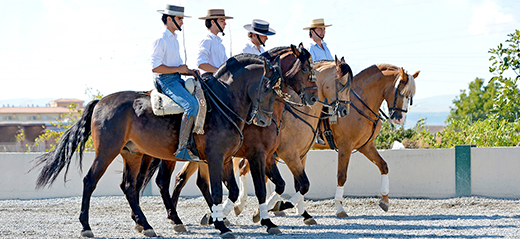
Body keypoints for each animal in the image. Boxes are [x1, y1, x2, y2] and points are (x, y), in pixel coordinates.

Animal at [31, 53, 284, 238]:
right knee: (90, 181)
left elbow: (231, 190)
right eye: (268, 87)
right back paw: (86, 226)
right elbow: (218, 190)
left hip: (132, 154)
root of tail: (101, 102)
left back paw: (146, 225)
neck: (223, 102)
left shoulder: (225, 159)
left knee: (129, 186)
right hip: (107, 151)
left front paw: (219, 219)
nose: (263, 121)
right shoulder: (218, 157)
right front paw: (222, 226)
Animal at [136, 44, 318, 234]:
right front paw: (267, 217)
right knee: (164, 181)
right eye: (305, 69)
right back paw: (174, 218)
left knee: (189, 181)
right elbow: (262, 188)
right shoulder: (260, 155)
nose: (314, 97)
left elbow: (281, 184)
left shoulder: (267, 156)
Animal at [236, 56, 354, 224]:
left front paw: (304, 214)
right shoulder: (289, 154)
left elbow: (299, 186)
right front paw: (278, 206)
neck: (301, 112)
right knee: (241, 168)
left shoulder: (301, 156)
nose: (345, 111)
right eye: (341, 83)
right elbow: (303, 185)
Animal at [282, 64, 420, 218]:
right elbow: (341, 176)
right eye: (401, 93)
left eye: (410, 97)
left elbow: (383, 166)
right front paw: (339, 208)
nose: (399, 119)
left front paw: (384, 200)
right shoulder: (345, 147)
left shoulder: (366, 146)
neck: (360, 104)